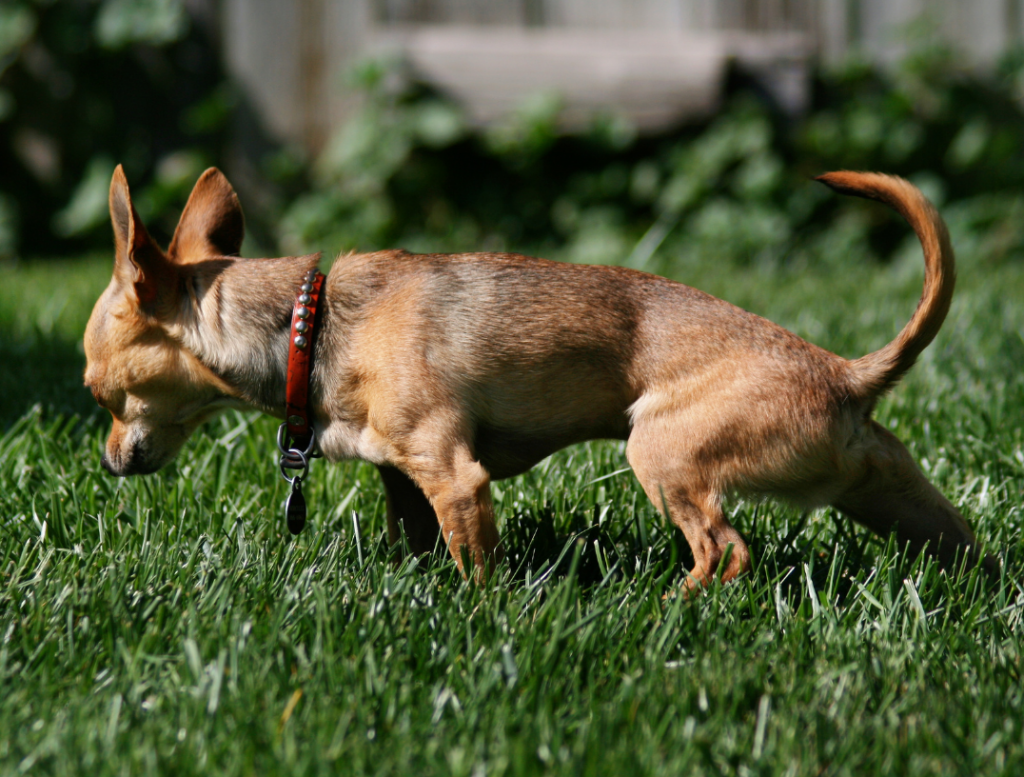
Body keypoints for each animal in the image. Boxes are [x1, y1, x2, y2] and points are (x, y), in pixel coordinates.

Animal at [83, 163, 995, 589]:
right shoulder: (405, 478)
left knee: (725, 550)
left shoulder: (455, 476)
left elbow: (474, 564)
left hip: (660, 454)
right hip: (893, 495)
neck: (310, 326)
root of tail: (845, 372)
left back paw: (669, 608)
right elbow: (415, 537)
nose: (108, 461)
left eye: (99, 392)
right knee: (960, 544)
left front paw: (480, 614)